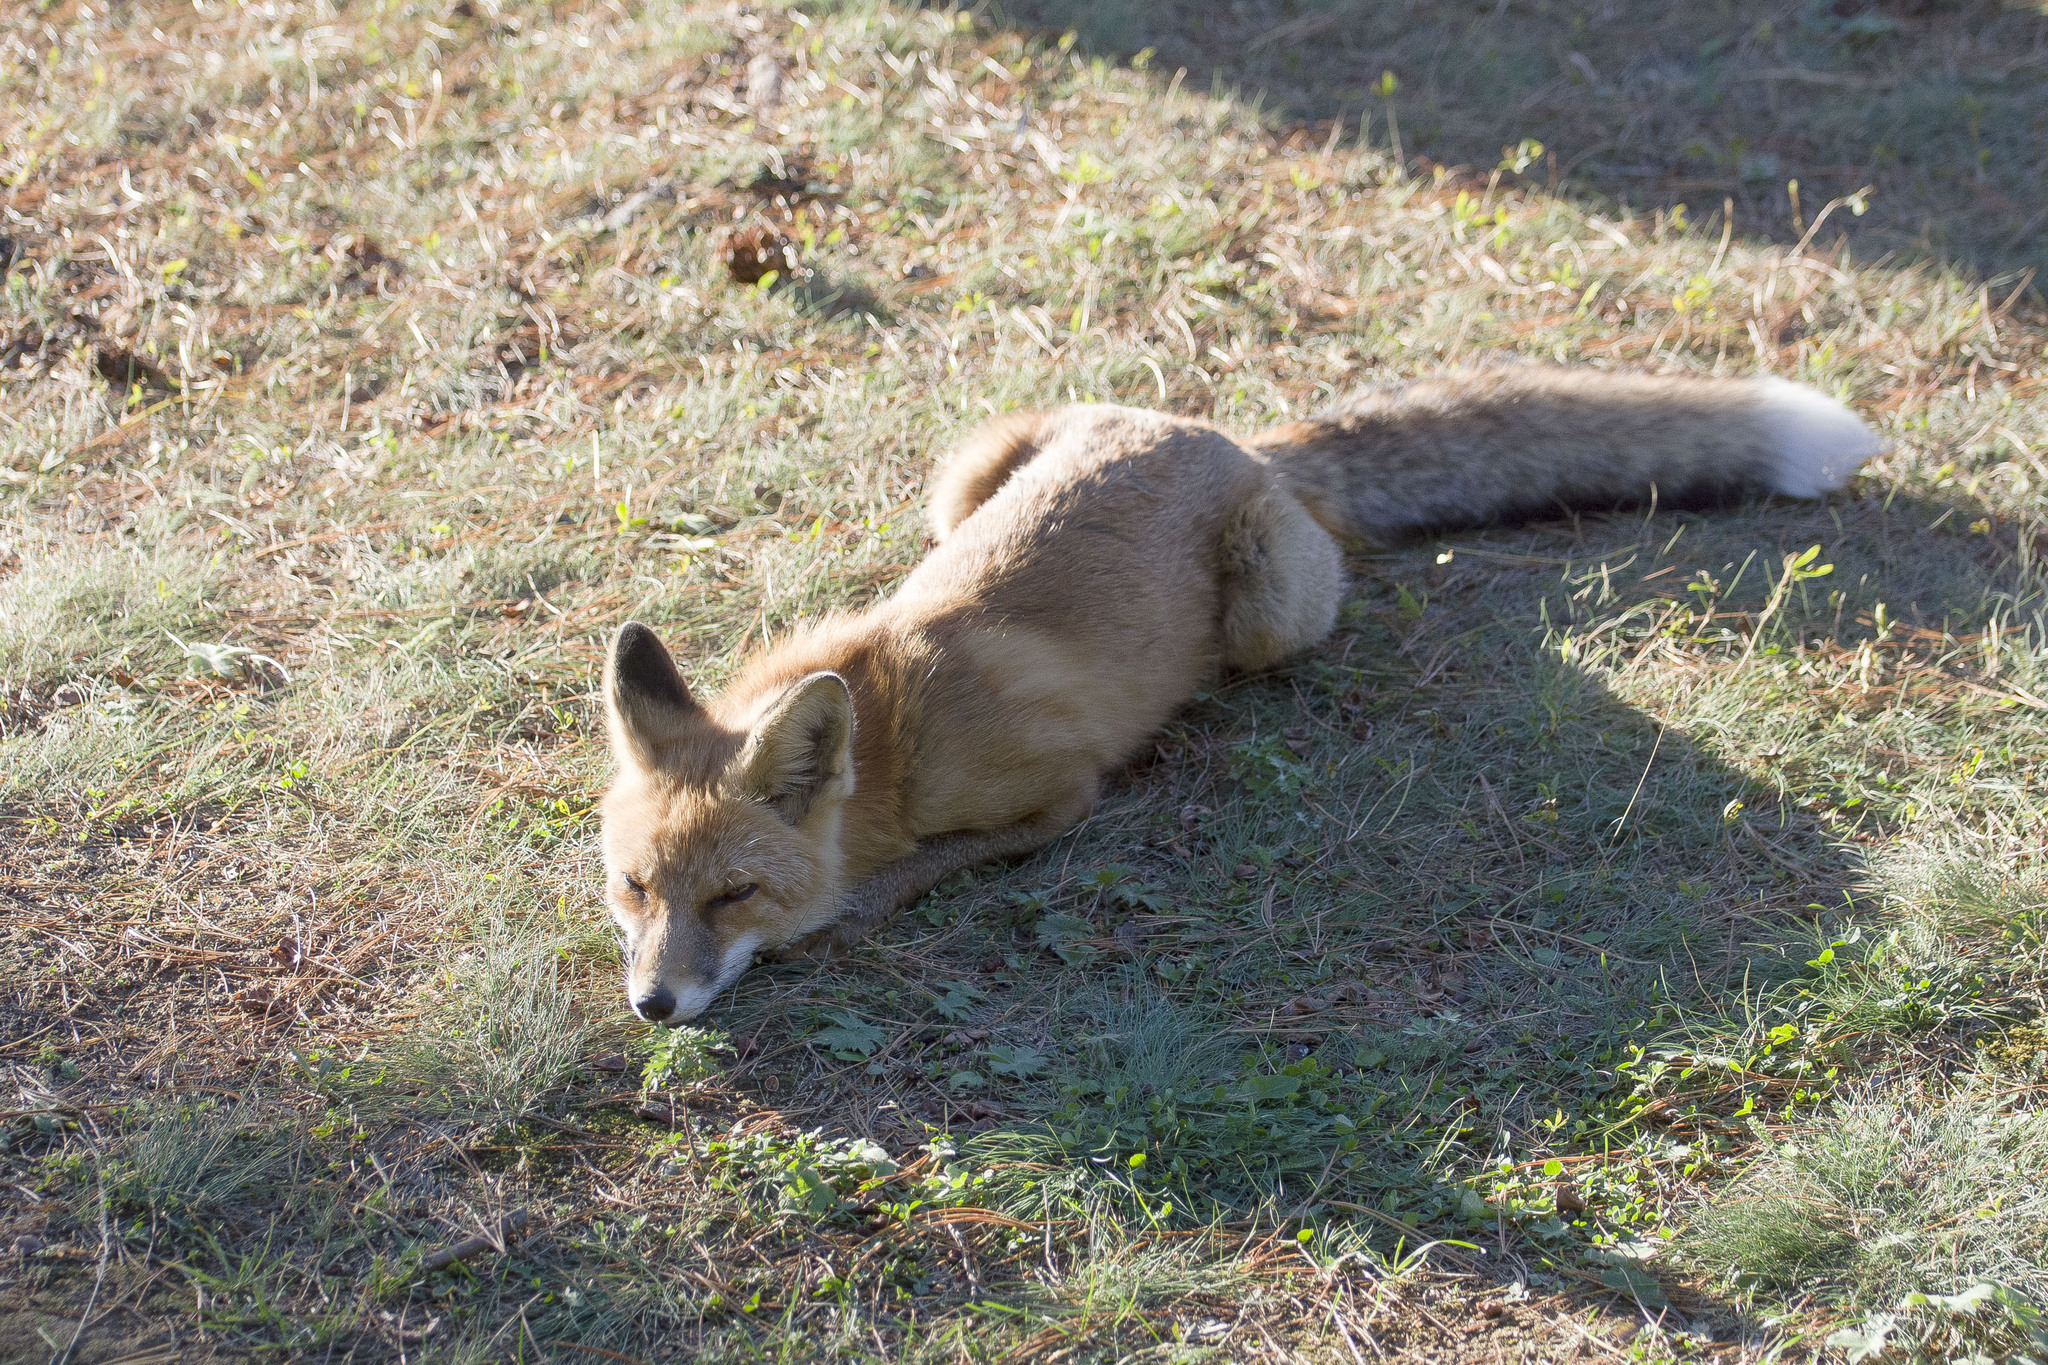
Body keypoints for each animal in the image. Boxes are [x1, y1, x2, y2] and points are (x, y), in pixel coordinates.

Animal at [598, 366, 1875, 1023]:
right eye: (635, 888)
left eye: (735, 896)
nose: (651, 1006)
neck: (892, 746)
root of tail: (1226, 436)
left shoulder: (1065, 790)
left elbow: (916, 874)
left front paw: (848, 909)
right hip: (956, 478)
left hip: (1270, 614)